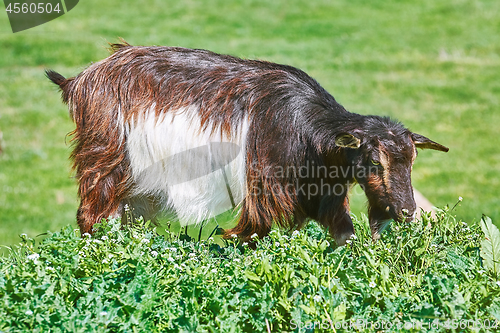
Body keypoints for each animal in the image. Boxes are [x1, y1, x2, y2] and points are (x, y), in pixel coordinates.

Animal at [47, 41, 450, 244]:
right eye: (374, 162)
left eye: (411, 161)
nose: (407, 211)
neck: (306, 127)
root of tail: (82, 79)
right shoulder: (263, 189)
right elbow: (250, 233)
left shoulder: (321, 194)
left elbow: (344, 234)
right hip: (106, 157)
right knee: (91, 214)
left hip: (134, 187)